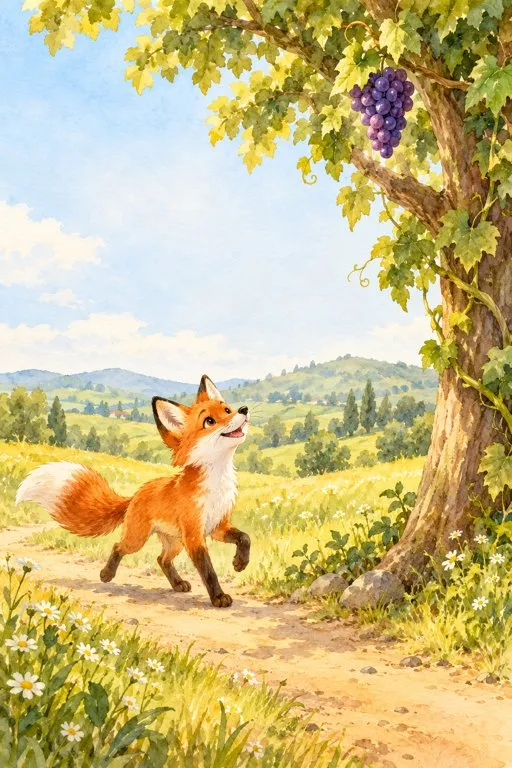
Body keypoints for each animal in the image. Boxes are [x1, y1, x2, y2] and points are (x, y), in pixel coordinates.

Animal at [16, 375, 250, 608]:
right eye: (209, 421)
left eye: (227, 410)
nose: (244, 409)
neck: (216, 486)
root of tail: (136, 494)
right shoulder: (194, 536)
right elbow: (208, 570)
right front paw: (218, 597)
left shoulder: (218, 526)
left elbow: (245, 537)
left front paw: (240, 562)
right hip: (138, 539)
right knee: (119, 546)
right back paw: (107, 574)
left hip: (175, 542)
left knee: (161, 559)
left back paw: (177, 584)